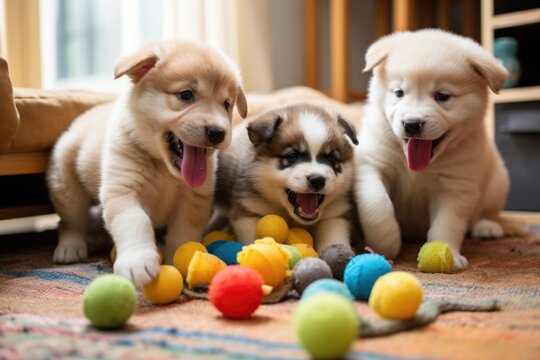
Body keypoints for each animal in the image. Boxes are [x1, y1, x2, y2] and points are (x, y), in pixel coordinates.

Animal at [47, 40, 248, 286]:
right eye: (186, 95)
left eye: (226, 104)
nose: (218, 133)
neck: (165, 170)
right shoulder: (123, 191)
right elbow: (136, 222)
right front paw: (137, 261)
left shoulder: (194, 200)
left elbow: (183, 234)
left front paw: (178, 258)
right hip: (66, 186)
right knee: (70, 222)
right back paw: (70, 248)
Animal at [211, 102, 358, 252]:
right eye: (292, 156)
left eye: (332, 158)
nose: (317, 180)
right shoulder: (247, 213)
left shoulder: (335, 216)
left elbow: (333, 239)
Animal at [354, 29, 528, 268]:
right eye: (399, 93)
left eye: (442, 96)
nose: (411, 124)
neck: (416, 169)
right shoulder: (371, 164)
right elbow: (377, 204)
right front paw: (386, 242)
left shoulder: (456, 184)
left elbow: (448, 222)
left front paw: (448, 253)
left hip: (498, 182)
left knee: (489, 212)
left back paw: (487, 227)